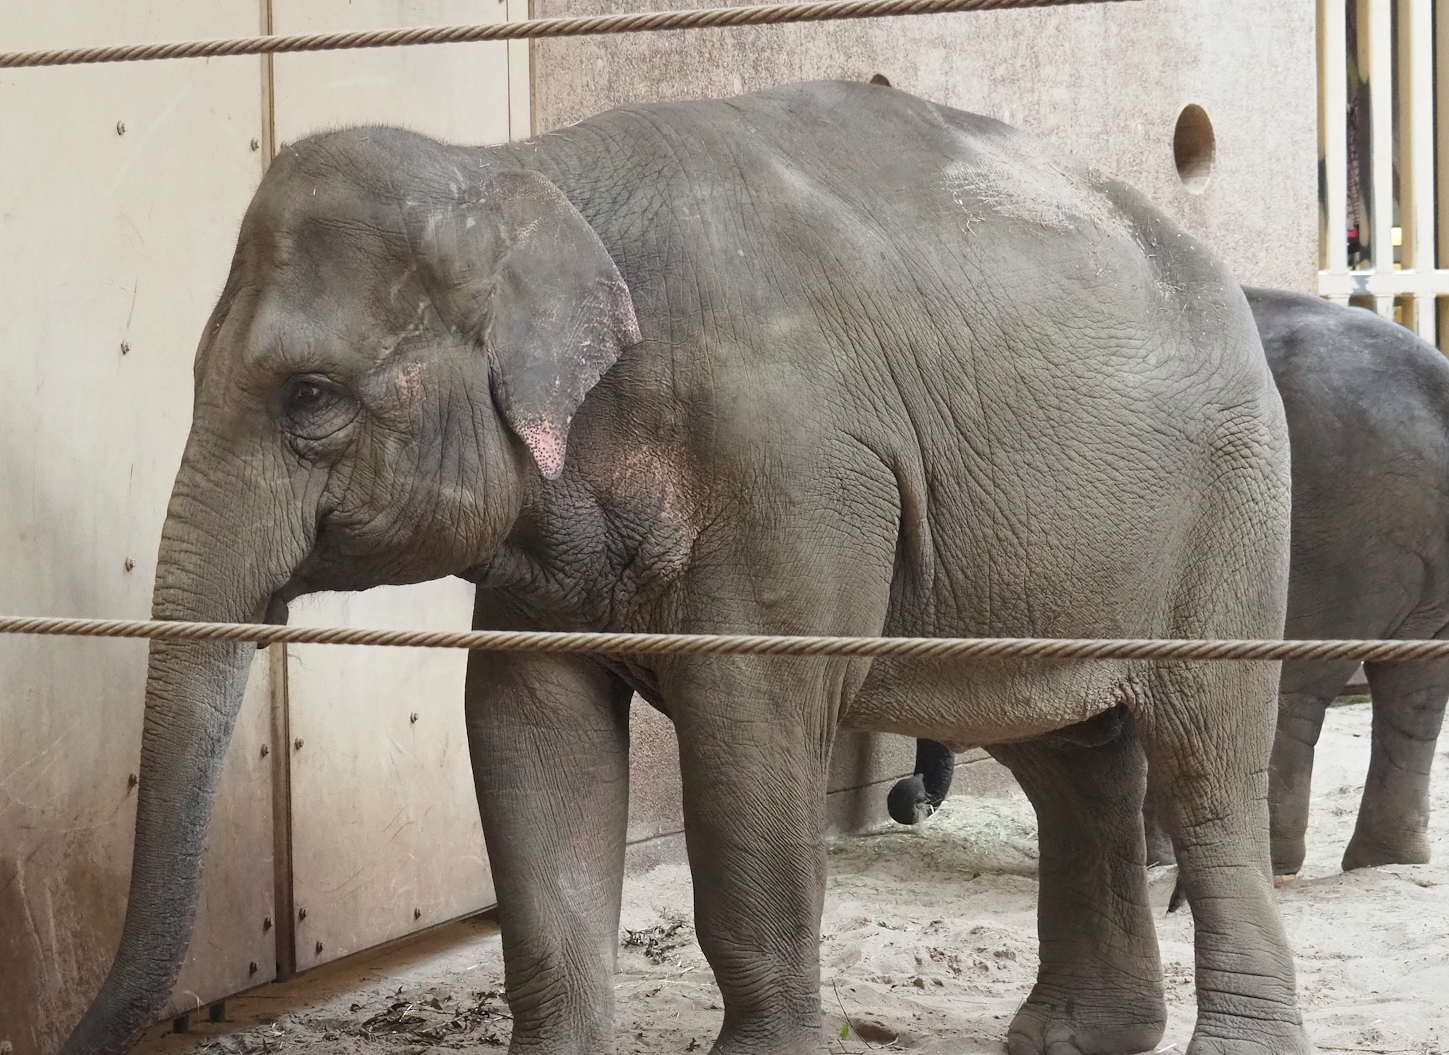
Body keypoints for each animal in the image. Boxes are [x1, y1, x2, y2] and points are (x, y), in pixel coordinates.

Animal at [62, 81, 1306, 1055]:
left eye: (309, 397)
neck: (521, 172)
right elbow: (527, 728)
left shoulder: (797, 470)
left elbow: (746, 726)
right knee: (1070, 755)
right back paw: (1074, 1032)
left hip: (1234, 513)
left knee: (1203, 762)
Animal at [893, 288, 1449, 880]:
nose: (908, 798)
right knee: (1415, 694)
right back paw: (1385, 860)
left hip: (1342, 542)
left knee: (1294, 690)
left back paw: (1279, 861)